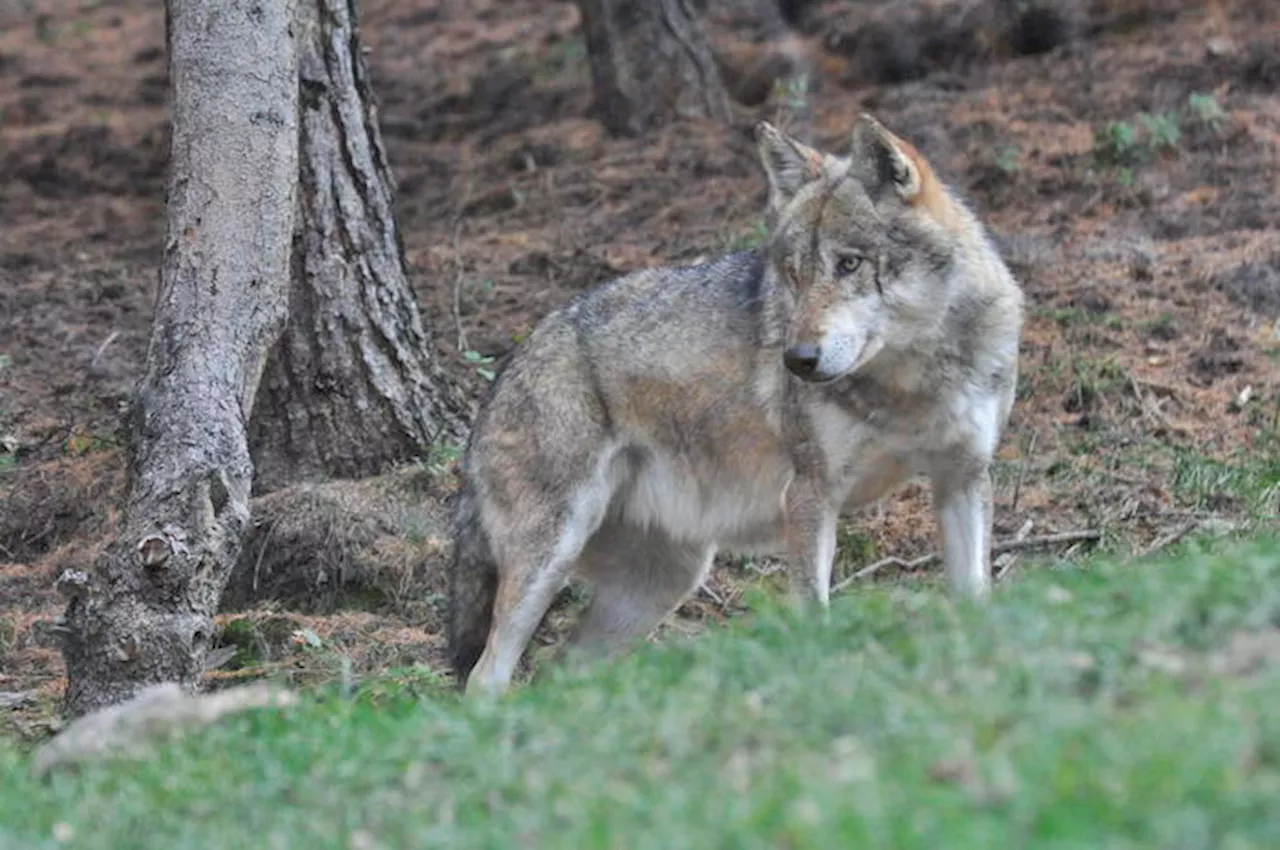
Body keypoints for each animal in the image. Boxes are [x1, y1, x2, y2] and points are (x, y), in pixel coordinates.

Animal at [445, 114, 1024, 696]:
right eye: (793, 274)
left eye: (849, 264)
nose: (798, 360)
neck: (911, 384)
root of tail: (506, 369)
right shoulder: (811, 495)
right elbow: (815, 614)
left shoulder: (963, 477)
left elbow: (975, 597)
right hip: (552, 560)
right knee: (485, 677)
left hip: (663, 581)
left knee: (559, 672)